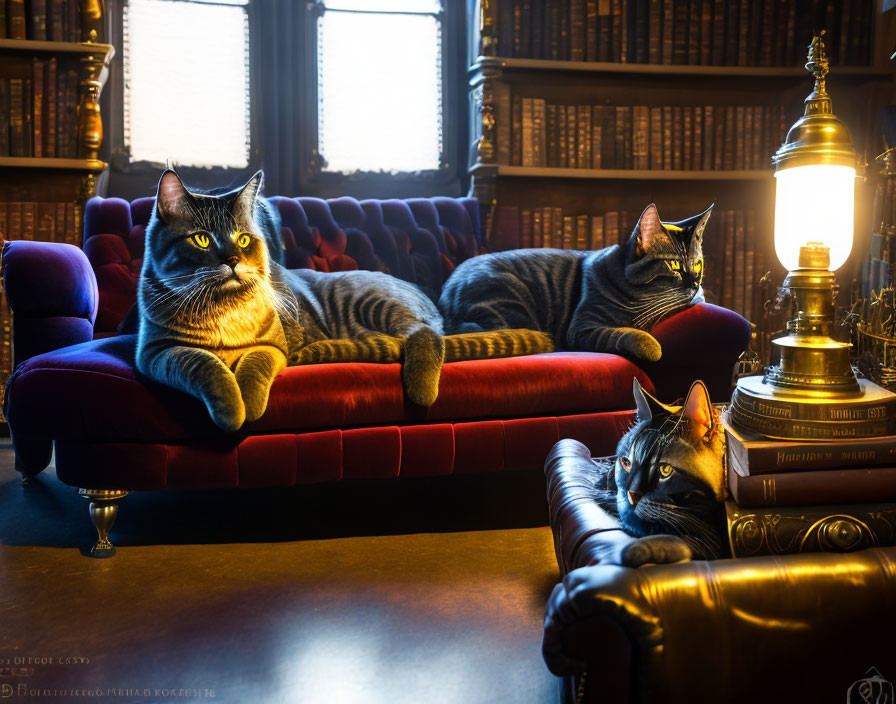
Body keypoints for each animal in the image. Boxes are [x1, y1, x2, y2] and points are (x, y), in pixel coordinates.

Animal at [136, 172, 552, 434]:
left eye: (243, 238)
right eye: (202, 239)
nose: (234, 260)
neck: (222, 311)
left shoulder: (272, 346)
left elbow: (253, 369)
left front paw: (247, 406)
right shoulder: (156, 352)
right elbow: (204, 366)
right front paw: (230, 407)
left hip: (374, 303)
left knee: (425, 335)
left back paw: (421, 386)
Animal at [438, 201, 712, 360]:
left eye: (698, 264)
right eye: (674, 265)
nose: (695, 283)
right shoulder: (583, 327)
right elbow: (626, 334)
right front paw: (651, 346)